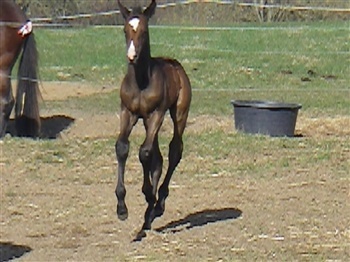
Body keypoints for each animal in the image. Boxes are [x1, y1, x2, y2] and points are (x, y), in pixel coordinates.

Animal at [115, 0, 191, 239]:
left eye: (144, 31)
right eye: (125, 30)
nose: (132, 56)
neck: (141, 82)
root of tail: (175, 64)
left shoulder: (155, 113)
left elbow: (144, 153)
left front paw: (149, 194)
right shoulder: (128, 112)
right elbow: (123, 147)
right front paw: (121, 208)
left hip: (178, 113)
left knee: (174, 150)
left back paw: (158, 205)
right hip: (149, 122)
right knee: (157, 158)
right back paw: (148, 216)